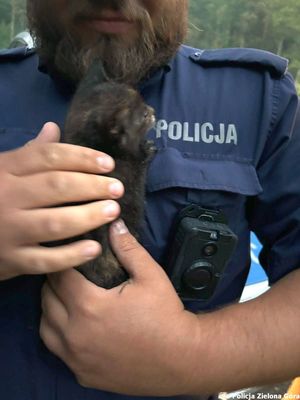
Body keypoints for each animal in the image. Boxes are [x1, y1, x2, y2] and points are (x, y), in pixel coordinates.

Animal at [64, 62, 156, 288]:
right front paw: (147, 149)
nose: (152, 110)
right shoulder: (130, 176)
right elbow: (140, 164)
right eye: (142, 115)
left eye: (144, 104)